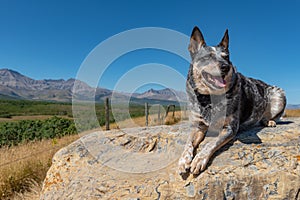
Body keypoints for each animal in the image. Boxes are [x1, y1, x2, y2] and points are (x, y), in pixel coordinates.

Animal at [178, 27, 286, 175]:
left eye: (226, 57)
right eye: (208, 57)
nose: (225, 66)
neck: (210, 98)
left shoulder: (230, 128)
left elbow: (210, 144)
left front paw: (199, 159)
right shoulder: (198, 126)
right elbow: (188, 143)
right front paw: (184, 160)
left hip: (279, 94)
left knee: (275, 116)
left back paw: (268, 121)